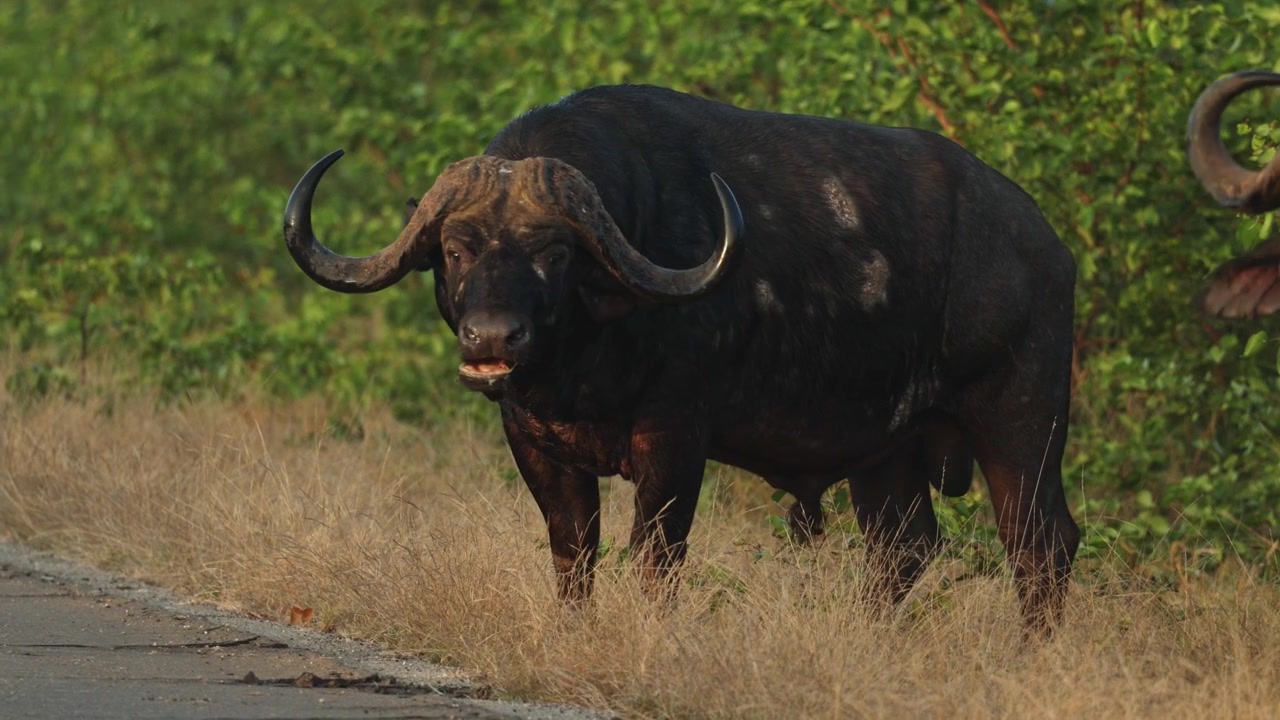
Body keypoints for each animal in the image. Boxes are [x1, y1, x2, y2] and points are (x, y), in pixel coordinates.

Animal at [283, 84, 1080, 633]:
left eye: (554, 253)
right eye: (454, 250)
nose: (491, 339)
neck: (587, 359)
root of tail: (1045, 245)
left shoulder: (674, 436)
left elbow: (656, 552)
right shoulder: (532, 441)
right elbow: (574, 549)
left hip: (1023, 424)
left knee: (1040, 546)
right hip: (887, 452)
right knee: (903, 548)